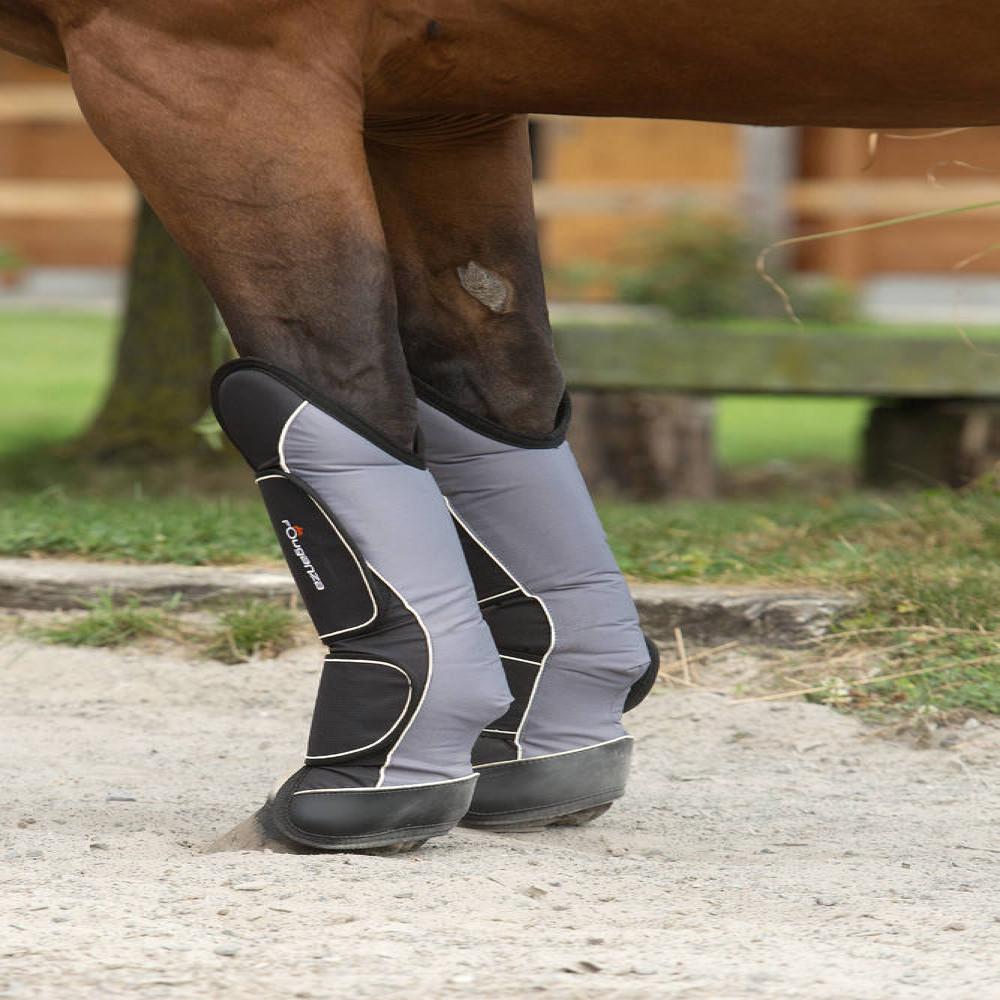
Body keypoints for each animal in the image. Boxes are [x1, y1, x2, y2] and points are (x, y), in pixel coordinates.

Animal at [5, 1, 999, 852]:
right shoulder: (438, 109)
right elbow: (489, 408)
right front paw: (551, 754)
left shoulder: (210, 68)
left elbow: (328, 404)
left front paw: (366, 789)